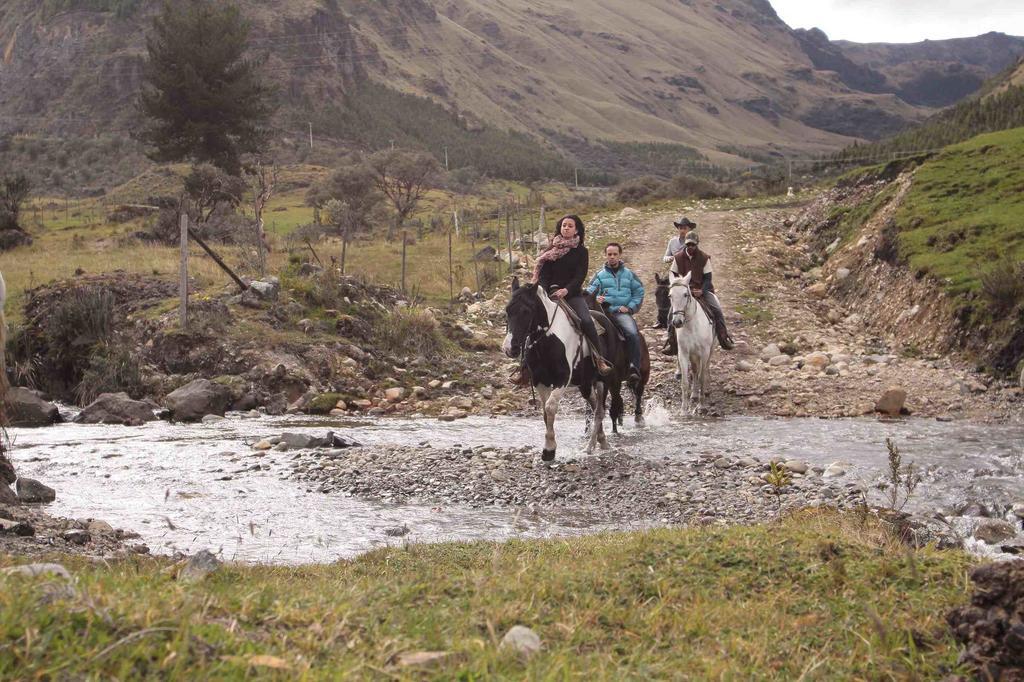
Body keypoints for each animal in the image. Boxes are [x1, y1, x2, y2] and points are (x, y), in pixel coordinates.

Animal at [503, 278, 606, 458]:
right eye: (507, 310)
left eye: (526, 311)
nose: (510, 348)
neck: (547, 339)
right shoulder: (540, 381)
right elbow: (545, 412)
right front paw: (549, 447)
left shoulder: (562, 379)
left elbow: (550, 407)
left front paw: (549, 449)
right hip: (585, 384)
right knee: (594, 406)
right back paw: (600, 439)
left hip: (601, 380)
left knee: (599, 410)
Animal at [667, 272, 716, 413]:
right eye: (670, 295)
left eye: (685, 294)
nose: (677, 322)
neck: (692, 326)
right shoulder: (683, 353)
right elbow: (685, 381)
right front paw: (684, 409)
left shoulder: (704, 352)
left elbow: (701, 377)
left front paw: (702, 406)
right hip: (693, 355)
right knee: (694, 371)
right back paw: (694, 395)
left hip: (710, 350)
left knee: (705, 368)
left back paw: (706, 390)